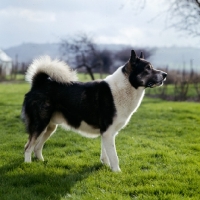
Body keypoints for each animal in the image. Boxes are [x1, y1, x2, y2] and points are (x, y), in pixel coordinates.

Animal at [21, 49, 167, 171]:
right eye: (148, 68)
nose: (165, 74)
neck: (126, 86)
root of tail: (39, 83)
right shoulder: (108, 132)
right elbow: (114, 156)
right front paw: (117, 172)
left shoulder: (107, 133)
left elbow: (105, 153)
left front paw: (105, 166)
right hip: (40, 124)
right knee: (28, 147)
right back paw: (28, 165)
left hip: (49, 127)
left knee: (37, 147)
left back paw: (41, 161)